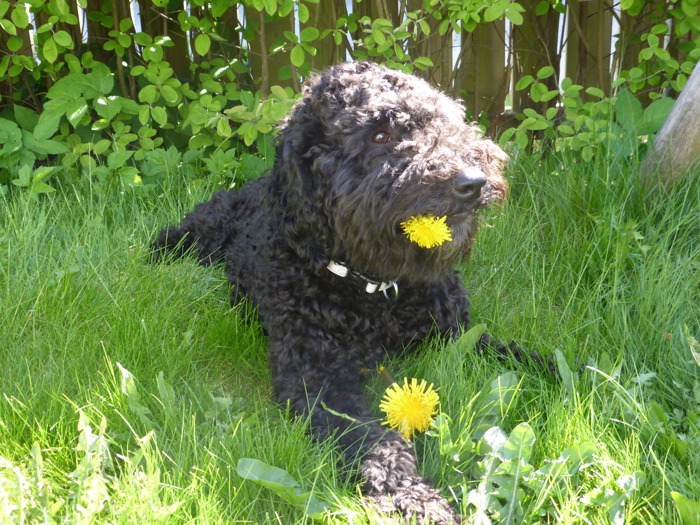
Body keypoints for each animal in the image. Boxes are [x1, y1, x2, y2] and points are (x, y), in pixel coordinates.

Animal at [153, 60, 528, 520]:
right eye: (380, 135)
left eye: (442, 120)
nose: (473, 181)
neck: (377, 291)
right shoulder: (320, 380)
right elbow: (379, 443)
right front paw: (414, 500)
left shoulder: (462, 338)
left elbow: (529, 358)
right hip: (201, 231)